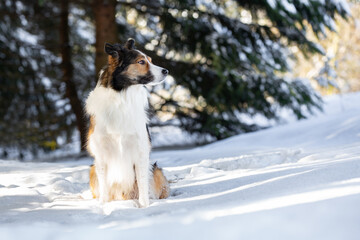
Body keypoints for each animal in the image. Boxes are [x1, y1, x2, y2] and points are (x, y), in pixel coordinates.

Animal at [86, 38, 170, 207]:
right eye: (141, 62)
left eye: (150, 60)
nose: (166, 71)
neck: (122, 97)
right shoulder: (101, 153)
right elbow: (103, 185)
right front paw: (103, 205)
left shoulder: (141, 149)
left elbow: (143, 183)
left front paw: (144, 206)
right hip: (92, 169)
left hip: (155, 170)